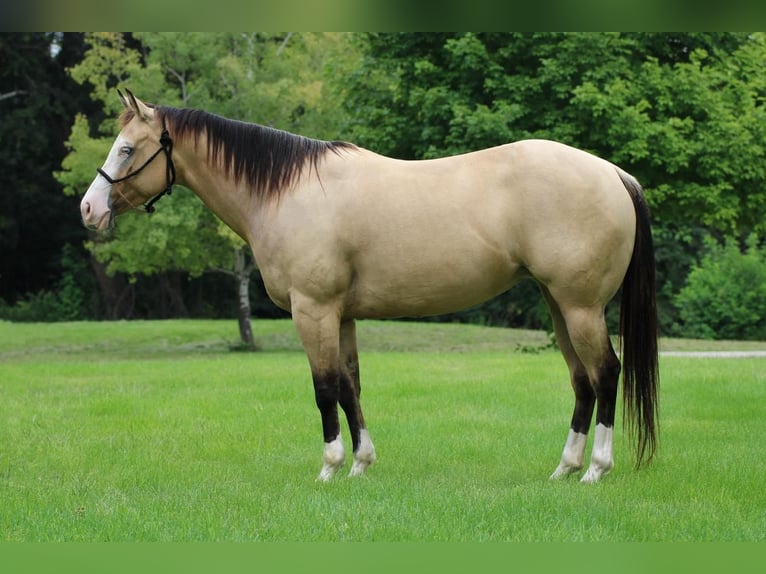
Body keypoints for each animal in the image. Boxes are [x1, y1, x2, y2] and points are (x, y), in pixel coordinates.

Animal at [81, 91, 664, 486]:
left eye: (127, 149)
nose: (88, 209)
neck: (288, 191)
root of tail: (614, 173)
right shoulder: (341, 315)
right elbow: (350, 386)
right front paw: (361, 464)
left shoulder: (313, 310)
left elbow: (323, 389)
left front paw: (329, 467)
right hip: (558, 305)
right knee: (582, 381)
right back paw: (565, 468)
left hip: (581, 307)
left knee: (606, 374)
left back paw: (596, 470)